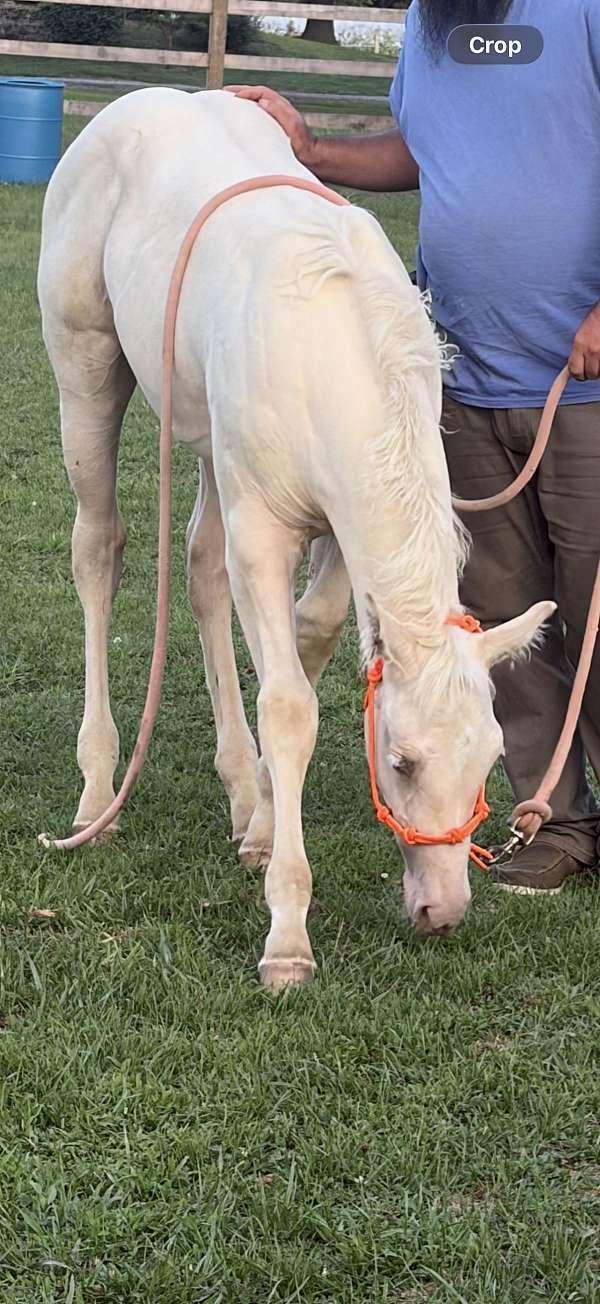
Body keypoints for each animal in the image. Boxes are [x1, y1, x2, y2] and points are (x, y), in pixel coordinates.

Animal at [37, 88, 552, 984]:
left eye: (490, 756)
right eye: (400, 761)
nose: (443, 912)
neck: (334, 355)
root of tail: (134, 104)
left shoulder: (342, 535)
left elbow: (309, 645)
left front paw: (263, 823)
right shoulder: (265, 529)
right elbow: (286, 705)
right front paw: (287, 937)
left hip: (208, 435)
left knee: (200, 569)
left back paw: (240, 790)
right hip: (87, 371)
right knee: (99, 548)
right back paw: (98, 794)